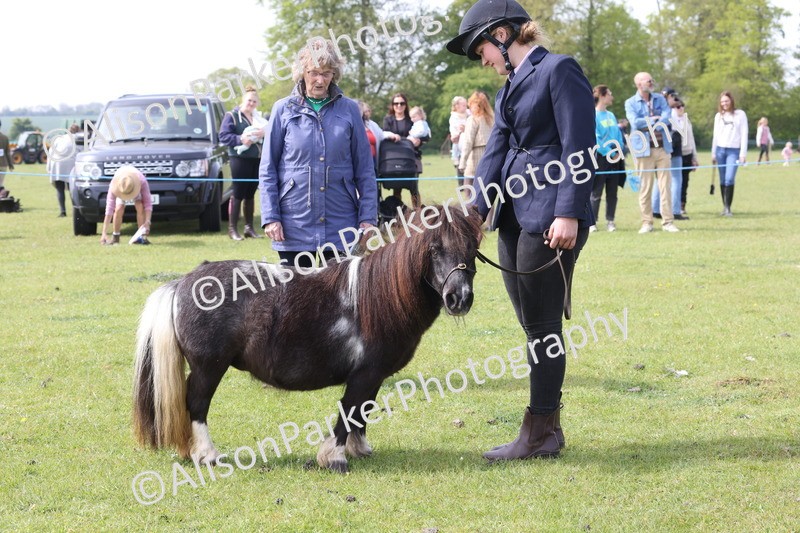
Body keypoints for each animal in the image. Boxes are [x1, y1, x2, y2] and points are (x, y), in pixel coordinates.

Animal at [133, 204, 483, 473]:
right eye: (434, 249)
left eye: (472, 251)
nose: (459, 298)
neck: (379, 297)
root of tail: (182, 282)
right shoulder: (364, 374)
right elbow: (349, 412)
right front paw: (335, 457)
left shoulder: (375, 376)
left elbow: (363, 411)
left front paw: (359, 448)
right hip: (209, 367)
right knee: (196, 404)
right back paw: (207, 454)